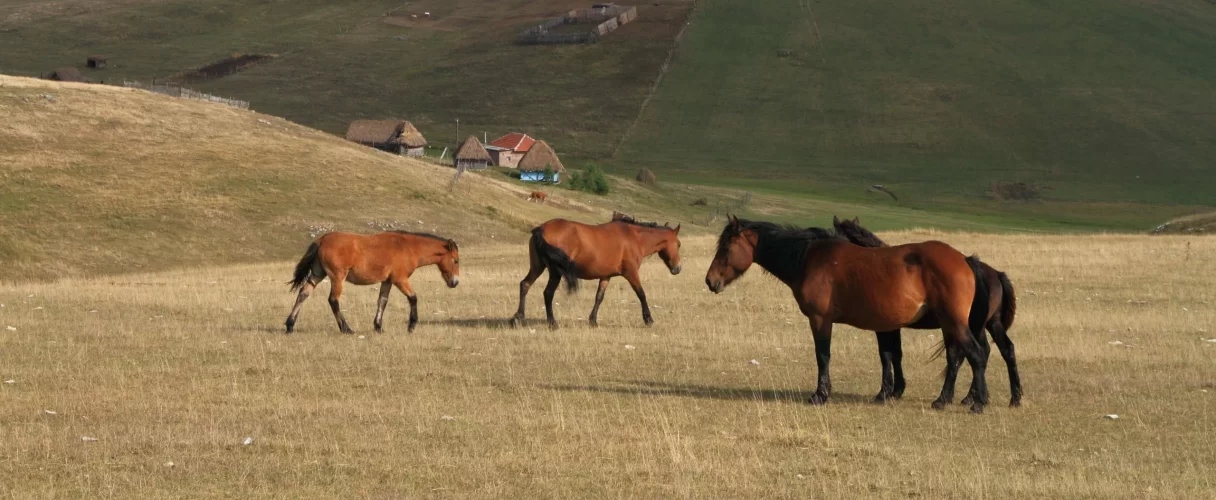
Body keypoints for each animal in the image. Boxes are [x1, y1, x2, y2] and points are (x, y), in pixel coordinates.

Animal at [284, 232, 459, 335]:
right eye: (456, 260)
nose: (455, 282)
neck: (409, 247)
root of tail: (322, 239)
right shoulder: (400, 280)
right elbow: (413, 298)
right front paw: (412, 325)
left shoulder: (387, 281)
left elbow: (382, 301)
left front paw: (378, 326)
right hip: (337, 277)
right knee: (333, 300)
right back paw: (346, 329)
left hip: (317, 274)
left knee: (303, 293)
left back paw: (290, 325)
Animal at [513, 212, 685, 330]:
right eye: (679, 244)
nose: (677, 268)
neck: (634, 238)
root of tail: (541, 229)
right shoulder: (631, 274)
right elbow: (641, 294)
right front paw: (648, 319)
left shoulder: (606, 276)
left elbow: (599, 297)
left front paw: (593, 320)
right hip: (555, 273)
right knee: (548, 293)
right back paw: (552, 323)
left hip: (537, 267)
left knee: (525, 285)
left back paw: (518, 318)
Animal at [705, 215, 997, 416]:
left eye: (726, 249)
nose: (710, 281)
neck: (809, 258)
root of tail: (965, 260)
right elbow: (889, 357)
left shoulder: (820, 320)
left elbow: (823, 356)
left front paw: (820, 395)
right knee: (960, 357)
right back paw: (949, 399)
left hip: (955, 324)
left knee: (975, 355)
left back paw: (976, 402)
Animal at [831, 215, 1021, 406]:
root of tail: (994, 273)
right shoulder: (893, 327)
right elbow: (896, 354)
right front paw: (896, 391)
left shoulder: (884, 327)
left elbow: (886, 355)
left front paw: (885, 393)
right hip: (989, 324)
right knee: (1003, 350)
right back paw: (1010, 397)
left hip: (964, 324)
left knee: (964, 355)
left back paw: (952, 399)